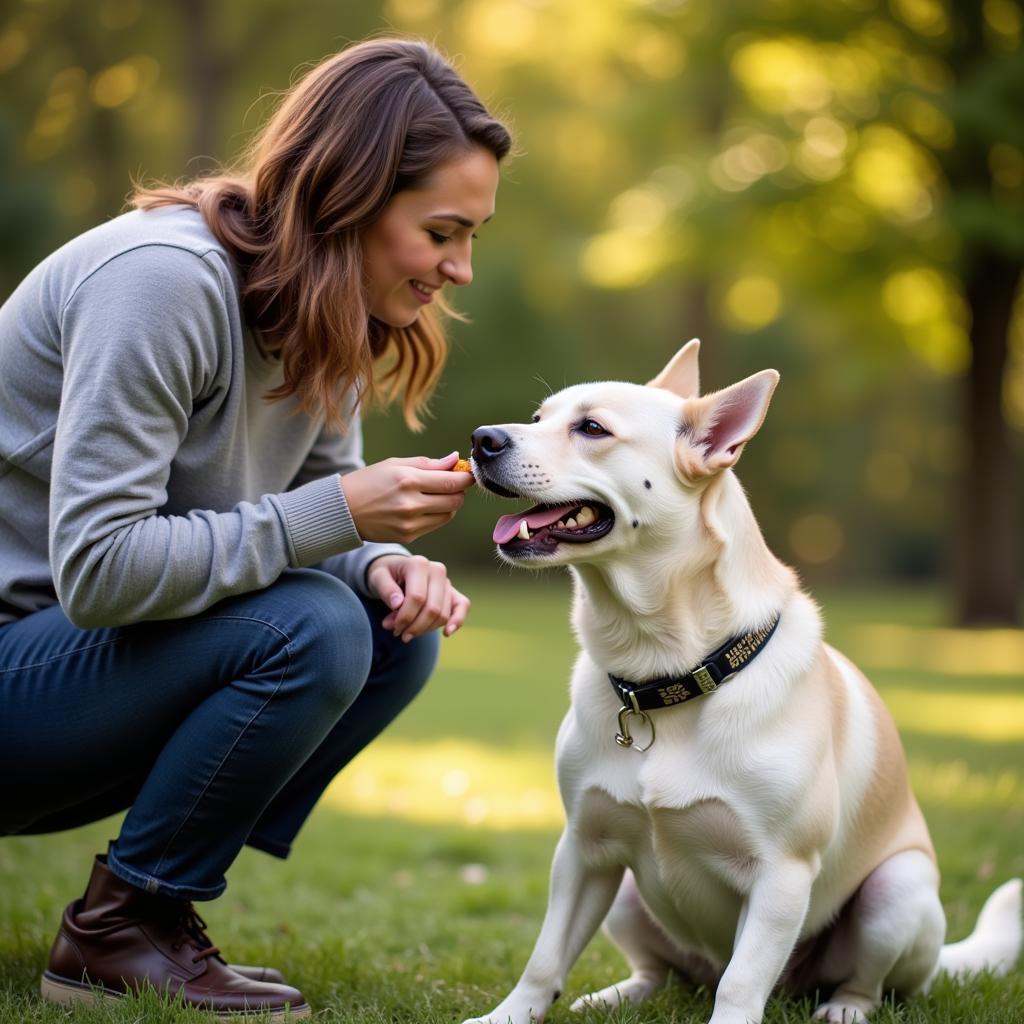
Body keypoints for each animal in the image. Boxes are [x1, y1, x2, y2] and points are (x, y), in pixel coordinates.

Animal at [466, 339, 1024, 1019]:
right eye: (538, 417)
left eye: (592, 428)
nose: (481, 439)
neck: (666, 675)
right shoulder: (582, 848)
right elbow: (545, 958)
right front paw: (506, 1015)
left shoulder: (782, 872)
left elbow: (740, 983)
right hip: (625, 898)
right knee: (663, 972)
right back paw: (618, 995)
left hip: (898, 890)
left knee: (855, 981)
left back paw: (844, 1007)